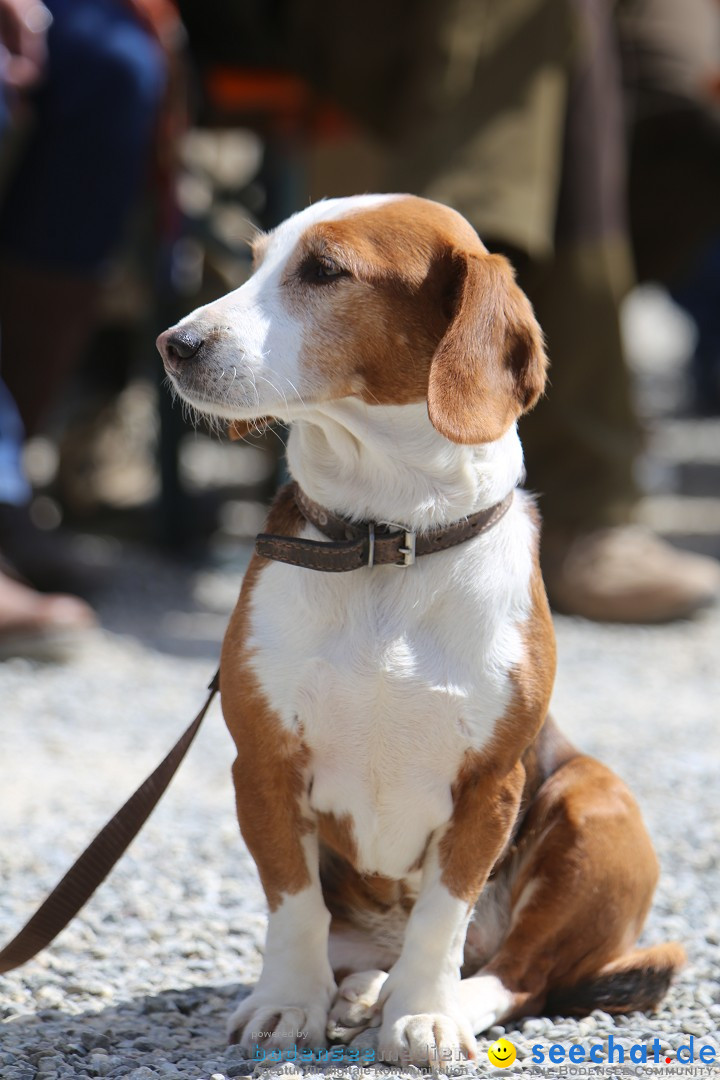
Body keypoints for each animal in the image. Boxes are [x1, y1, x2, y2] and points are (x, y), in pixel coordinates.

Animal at [156, 192, 682, 1062]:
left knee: (519, 972)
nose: (175, 344)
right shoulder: (263, 767)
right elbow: (294, 906)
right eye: (256, 260)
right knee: (375, 950)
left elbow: (441, 918)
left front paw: (425, 1016)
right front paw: (289, 1005)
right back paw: (361, 992)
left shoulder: (490, 786)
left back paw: (434, 1000)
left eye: (324, 270)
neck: (386, 536)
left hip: (594, 798)